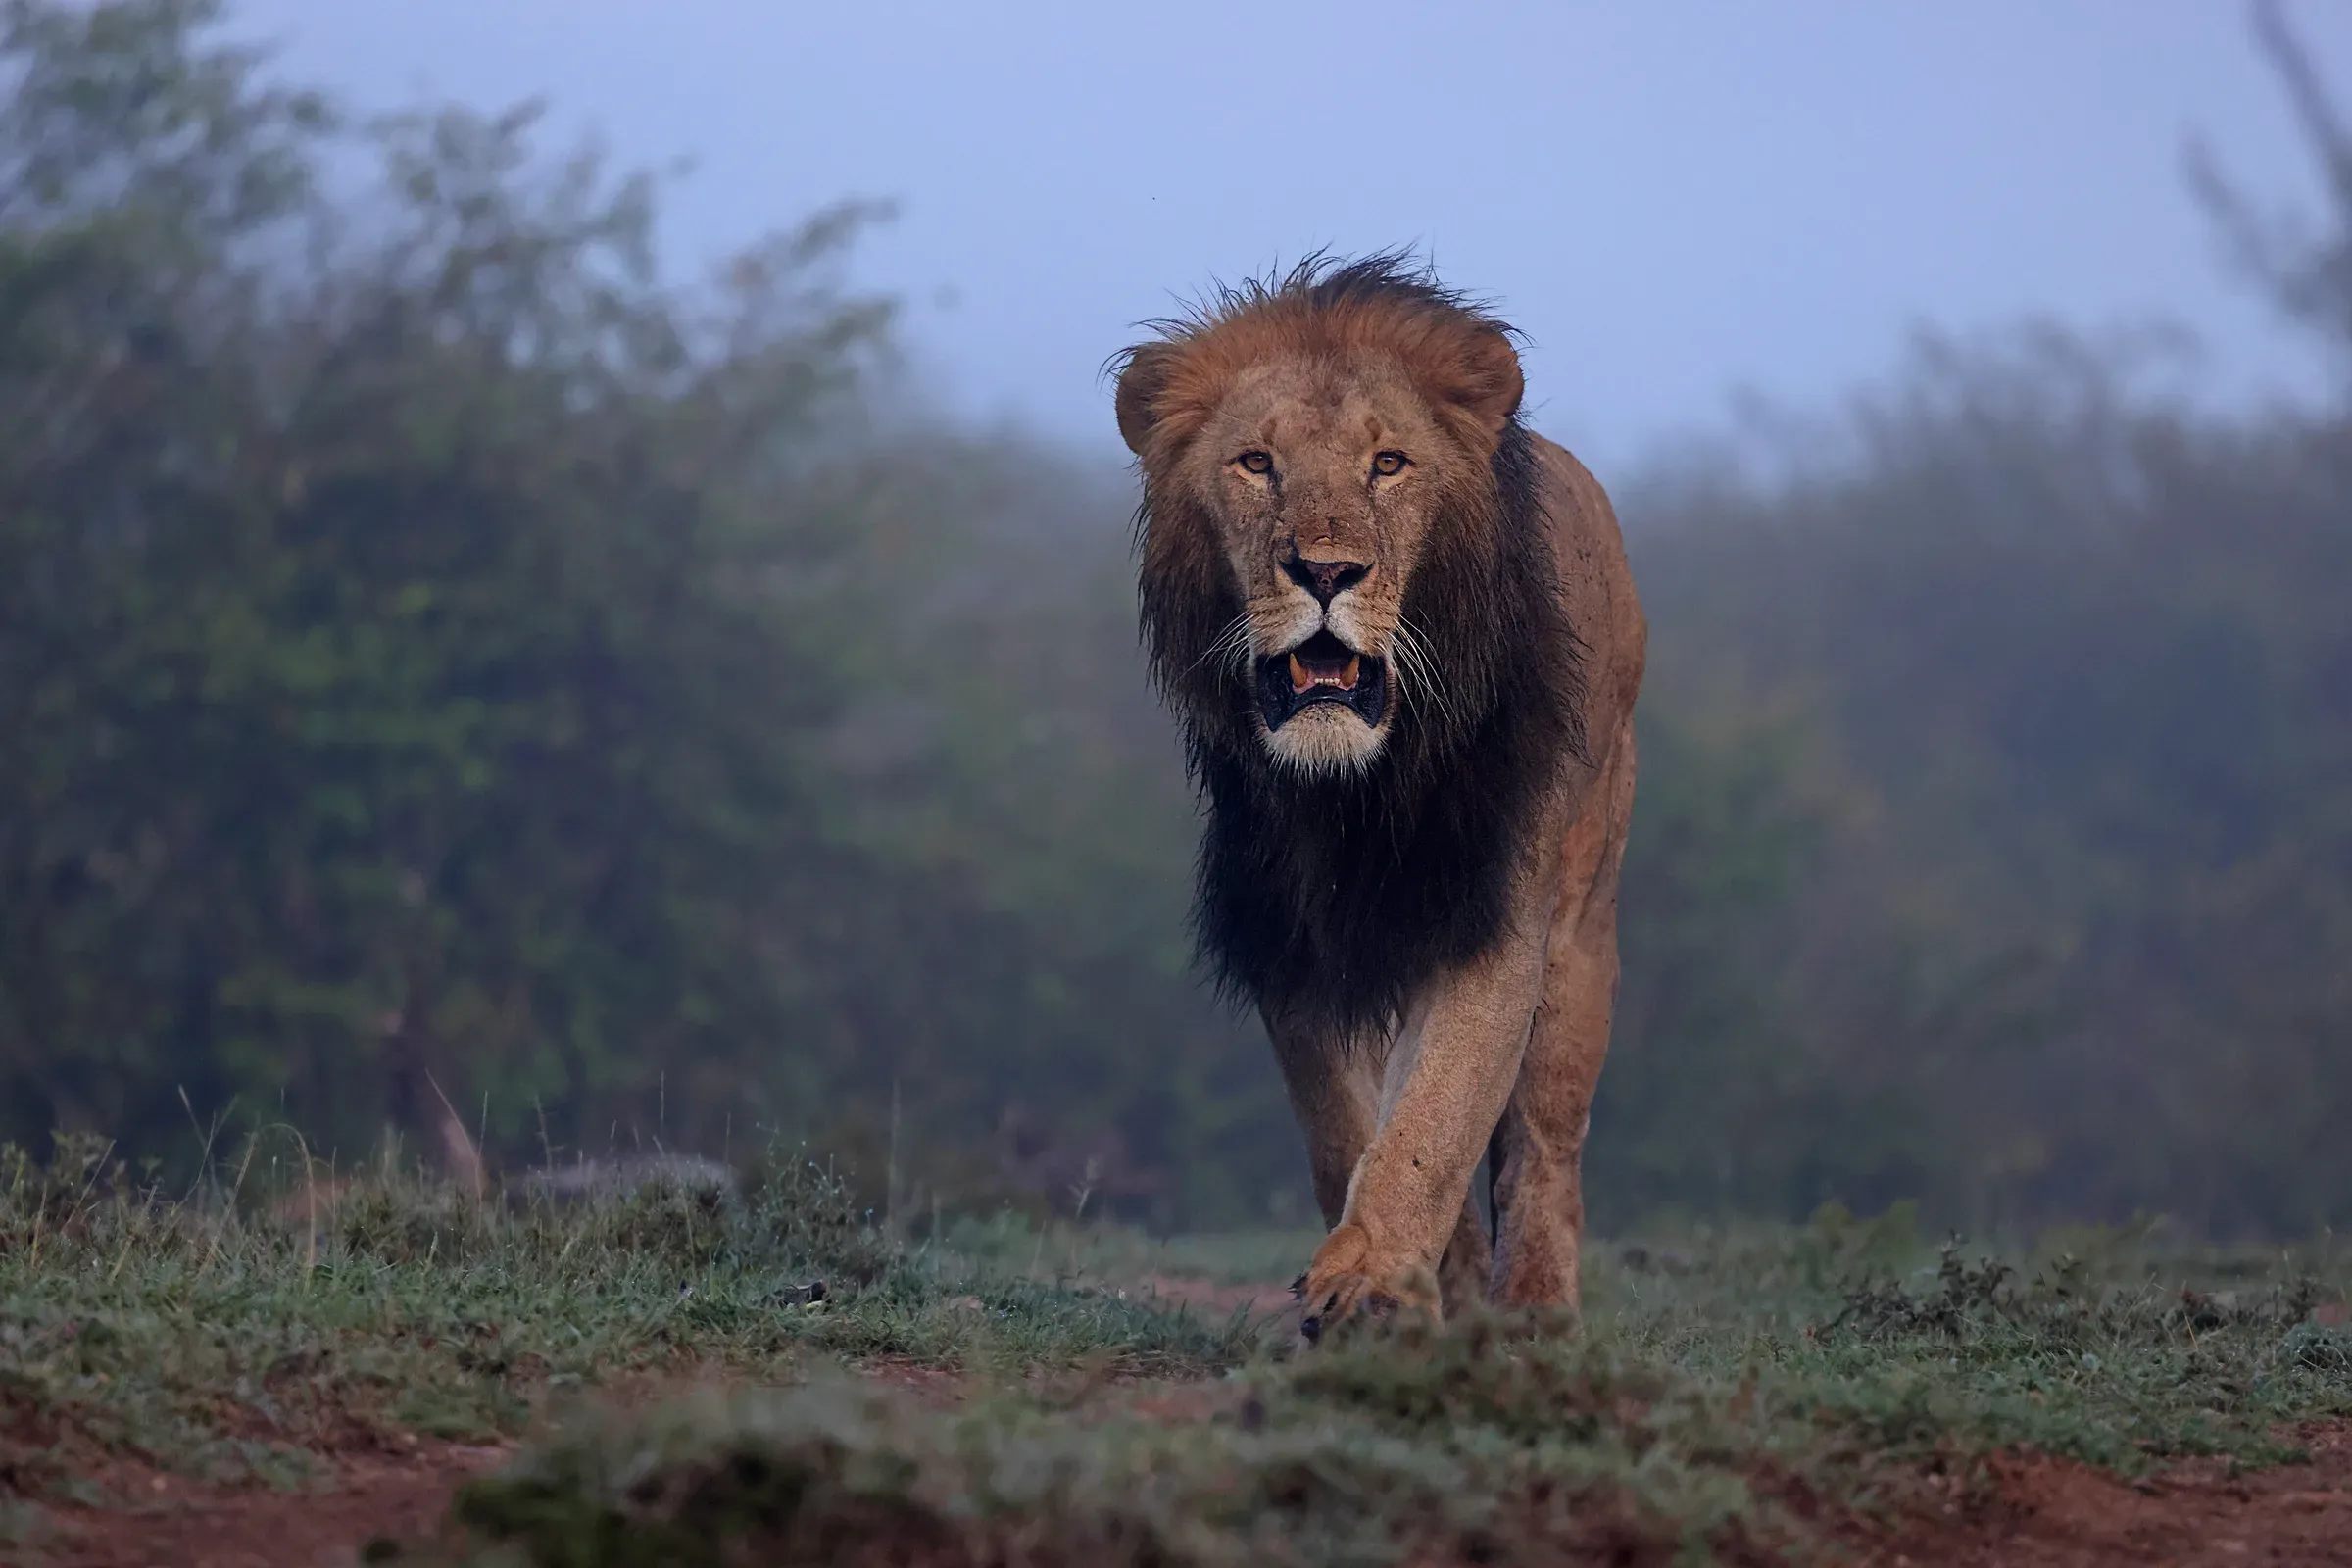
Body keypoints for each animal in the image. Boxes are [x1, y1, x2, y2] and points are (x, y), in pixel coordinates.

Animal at [1113, 255, 1644, 1328]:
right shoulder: (1291, 935)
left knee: (1545, 1147)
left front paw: (1371, 1281)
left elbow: (1435, 1115)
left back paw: (1534, 1311)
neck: (1356, 789)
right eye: (1256, 463)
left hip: (1584, 926)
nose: (1326, 571)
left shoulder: (1492, 912)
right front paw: (1399, 1286)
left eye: (1389, 464)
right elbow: (1345, 1125)